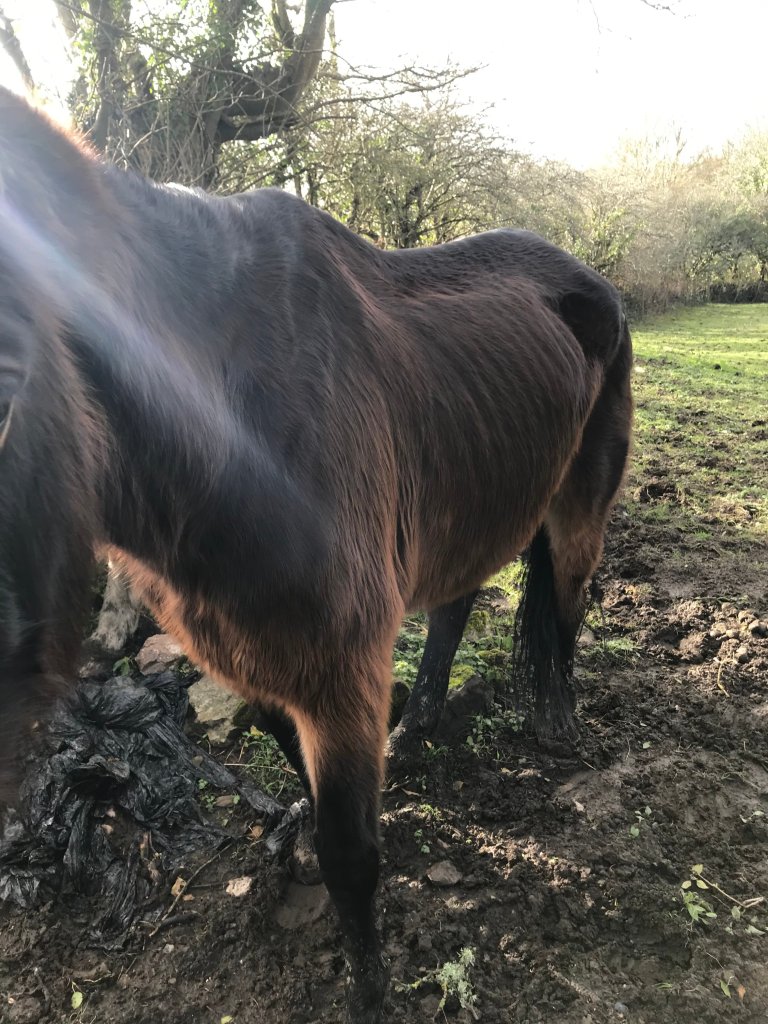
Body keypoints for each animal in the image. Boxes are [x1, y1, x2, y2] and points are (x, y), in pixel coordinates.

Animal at [0, 87, 632, 1024]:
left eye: (9, 383)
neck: (228, 425)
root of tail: (590, 280)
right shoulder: (256, 654)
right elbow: (302, 778)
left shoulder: (339, 665)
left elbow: (350, 855)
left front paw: (371, 991)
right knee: (457, 601)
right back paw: (419, 724)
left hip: (580, 503)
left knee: (568, 603)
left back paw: (557, 718)